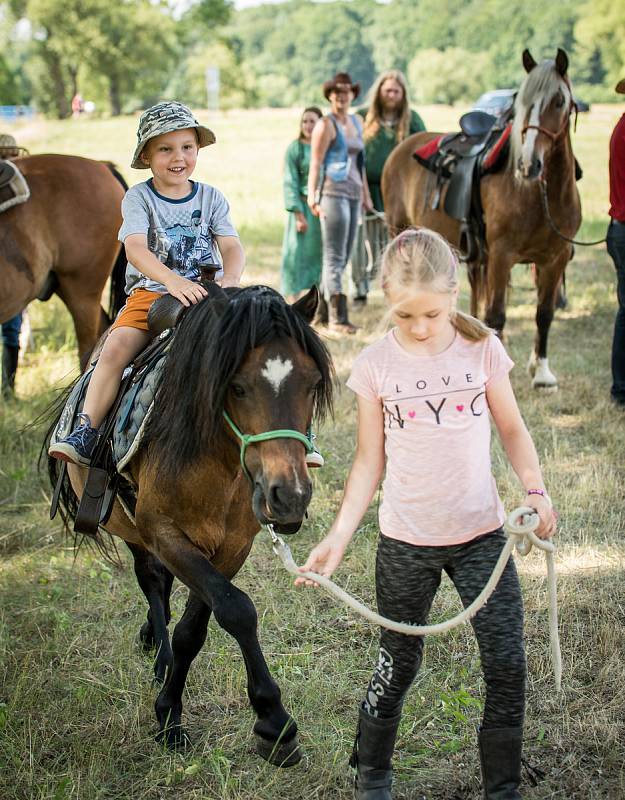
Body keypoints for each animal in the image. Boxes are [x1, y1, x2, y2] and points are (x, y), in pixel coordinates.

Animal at [46, 284, 334, 764]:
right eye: (236, 386)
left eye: (312, 384)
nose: (289, 495)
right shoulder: (164, 533)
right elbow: (236, 609)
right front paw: (272, 721)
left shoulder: (232, 546)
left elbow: (195, 627)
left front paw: (173, 707)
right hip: (134, 530)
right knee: (151, 580)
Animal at [382, 47, 584, 390]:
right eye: (521, 102)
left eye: (559, 101)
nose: (528, 165)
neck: (541, 197)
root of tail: (400, 148)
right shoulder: (502, 255)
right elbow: (497, 314)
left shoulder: (554, 259)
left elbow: (544, 313)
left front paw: (541, 371)